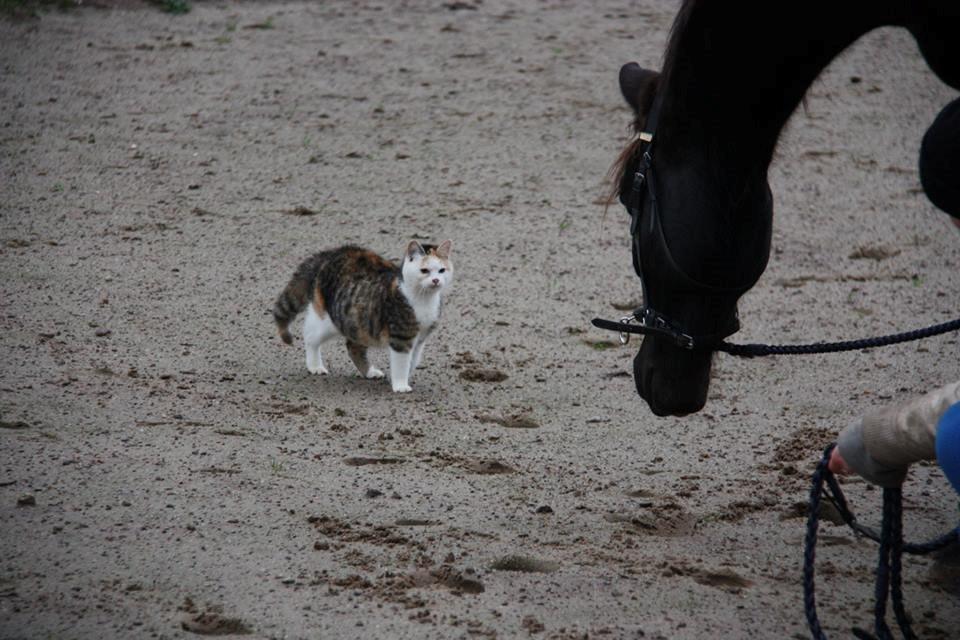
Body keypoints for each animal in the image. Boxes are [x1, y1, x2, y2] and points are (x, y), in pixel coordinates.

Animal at [274, 239, 454, 390]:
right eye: (424, 270)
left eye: (441, 270)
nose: (436, 280)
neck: (422, 299)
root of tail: (335, 252)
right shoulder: (401, 338)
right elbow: (402, 363)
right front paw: (401, 385)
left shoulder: (420, 339)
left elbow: (412, 361)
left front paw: (403, 379)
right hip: (330, 320)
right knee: (310, 336)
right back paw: (315, 366)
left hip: (360, 322)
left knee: (353, 346)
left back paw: (369, 372)